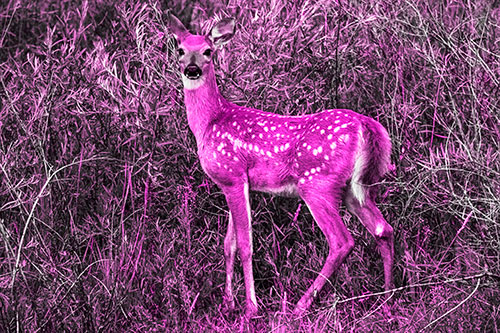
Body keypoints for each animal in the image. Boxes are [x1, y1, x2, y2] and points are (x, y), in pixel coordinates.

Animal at [170, 14, 396, 316]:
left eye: (208, 51)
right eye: (180, 49)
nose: (192, 69)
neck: (209, 122)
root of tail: (366, 126)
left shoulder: (233, 175)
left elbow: (245, 244)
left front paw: (251, 308)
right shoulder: (234, 182)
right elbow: (228, 244)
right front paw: (228, 302)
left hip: (317, 183)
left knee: (342, 241)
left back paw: (300, 306)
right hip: (355, 188)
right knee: (383, 229)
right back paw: (387, 297)